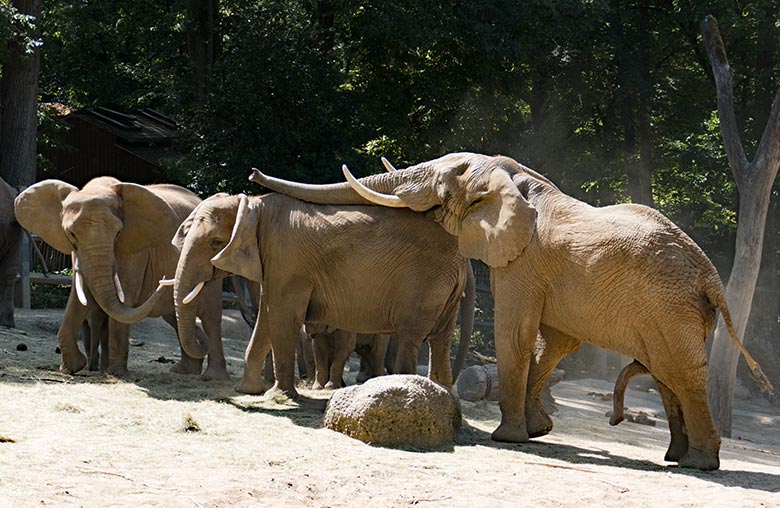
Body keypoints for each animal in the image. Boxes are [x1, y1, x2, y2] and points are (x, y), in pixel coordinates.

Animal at [13, 177, 227, 380]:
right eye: (71, 234)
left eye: (117, 233)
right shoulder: (78, 251)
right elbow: (79, 298)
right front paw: (71, 368)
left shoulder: (134, 249)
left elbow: (123, 299)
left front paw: (116, 373)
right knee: (175, 315)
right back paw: (184, 371)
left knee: (209, 316)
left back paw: (212, 376)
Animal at [171, 191, 470, 396]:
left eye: (215, 242)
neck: (253, 205)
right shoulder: (274, 264)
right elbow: (267, 318)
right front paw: (248, 391)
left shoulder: (287, 258)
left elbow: (281, 317)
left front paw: (278, 395)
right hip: (446, 289)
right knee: (441, 341)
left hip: (424, 283)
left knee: (410, 337)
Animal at [247, 152, 772, 472]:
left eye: (442, 180)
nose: (252, 175)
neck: (520, 179)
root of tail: (711, 277)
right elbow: (553, 341)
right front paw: (537, 431)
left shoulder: (524, 261)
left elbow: (515, 331)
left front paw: (508, 438)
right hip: (675, 311)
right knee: (665, 373)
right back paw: (675, 457)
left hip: (670, 307)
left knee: (679, 372)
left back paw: (699, 464)